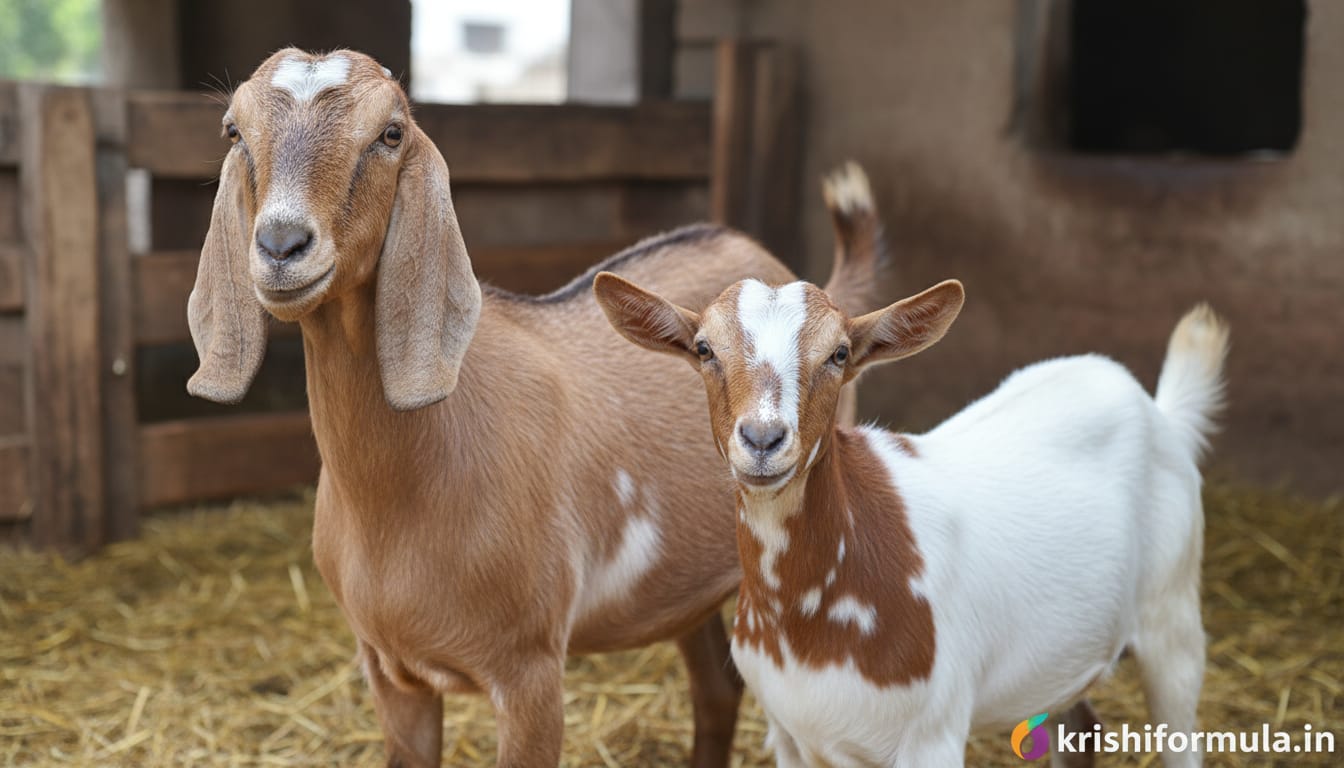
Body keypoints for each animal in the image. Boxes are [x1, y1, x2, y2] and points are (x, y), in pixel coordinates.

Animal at [185, 48, 887, 767]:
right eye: (234, 131)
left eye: (391, 133)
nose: (281, 245)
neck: (410, 480)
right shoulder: (391, 671)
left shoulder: (529, 668)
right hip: (684, 583)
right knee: (717, 685)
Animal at [594, 270, 1228, 767]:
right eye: (704, 349)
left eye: (839, 354)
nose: (763, 438)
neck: (805, 617)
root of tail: (1158, 410)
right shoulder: (791, 735)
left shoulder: (933, 733)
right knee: (1081, 727)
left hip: (1173, 614)